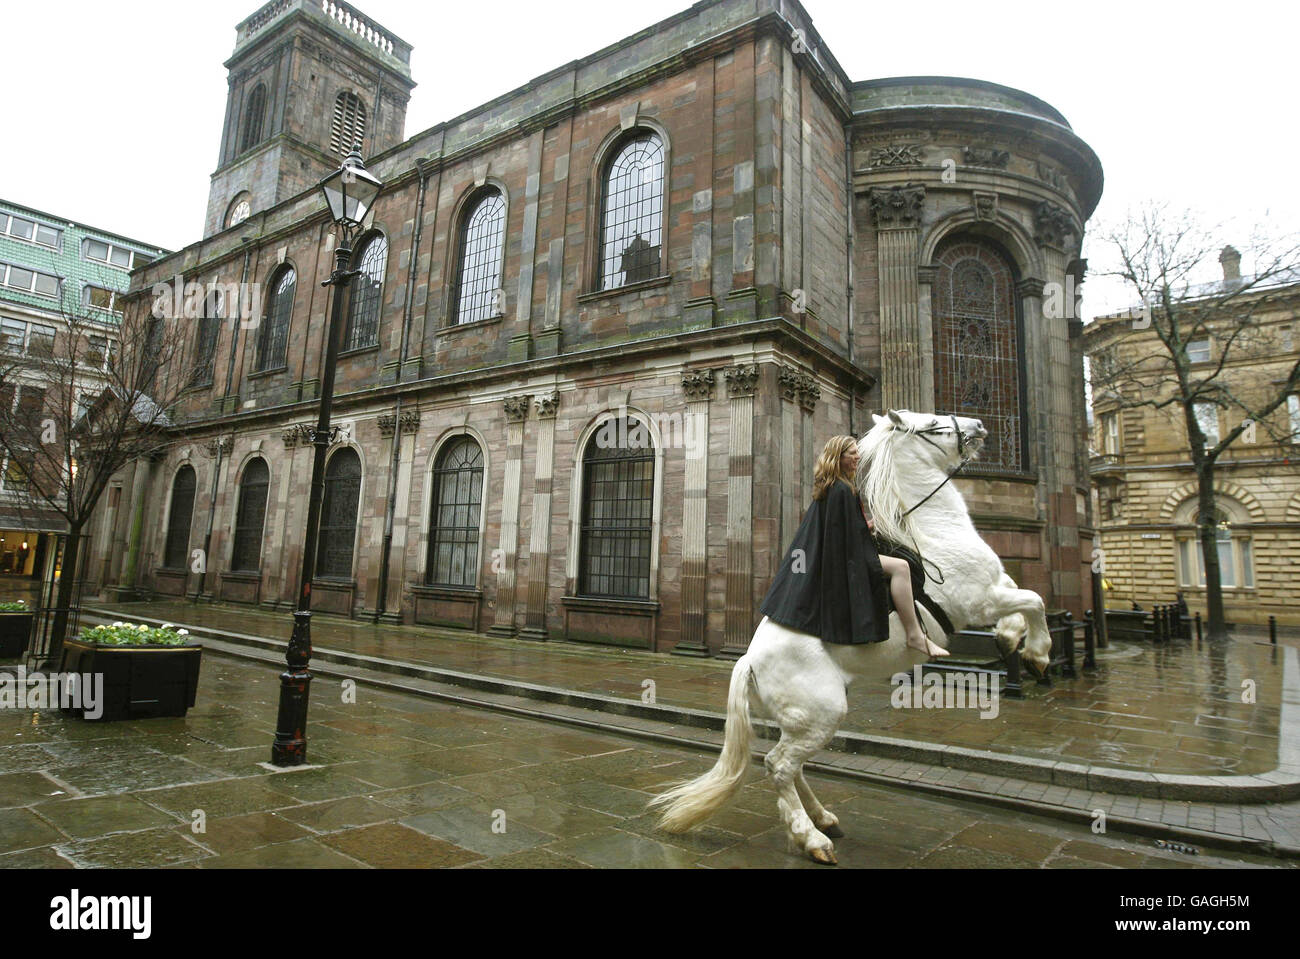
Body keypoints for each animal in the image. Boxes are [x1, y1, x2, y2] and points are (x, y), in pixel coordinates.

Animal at [650, 408, 1055, 862]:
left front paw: (1012, 640)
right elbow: (1035, 600)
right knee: (779, 765)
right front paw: (1037, 655)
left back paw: (823, 819)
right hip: (822, 713)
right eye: (932, 425)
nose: (978, 426)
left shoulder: (997, 587)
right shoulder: (981, 599)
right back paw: (813, 839)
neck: (935, 532)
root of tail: (748, 661)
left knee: (792, 766)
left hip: (806, 720)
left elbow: (1024, 600)